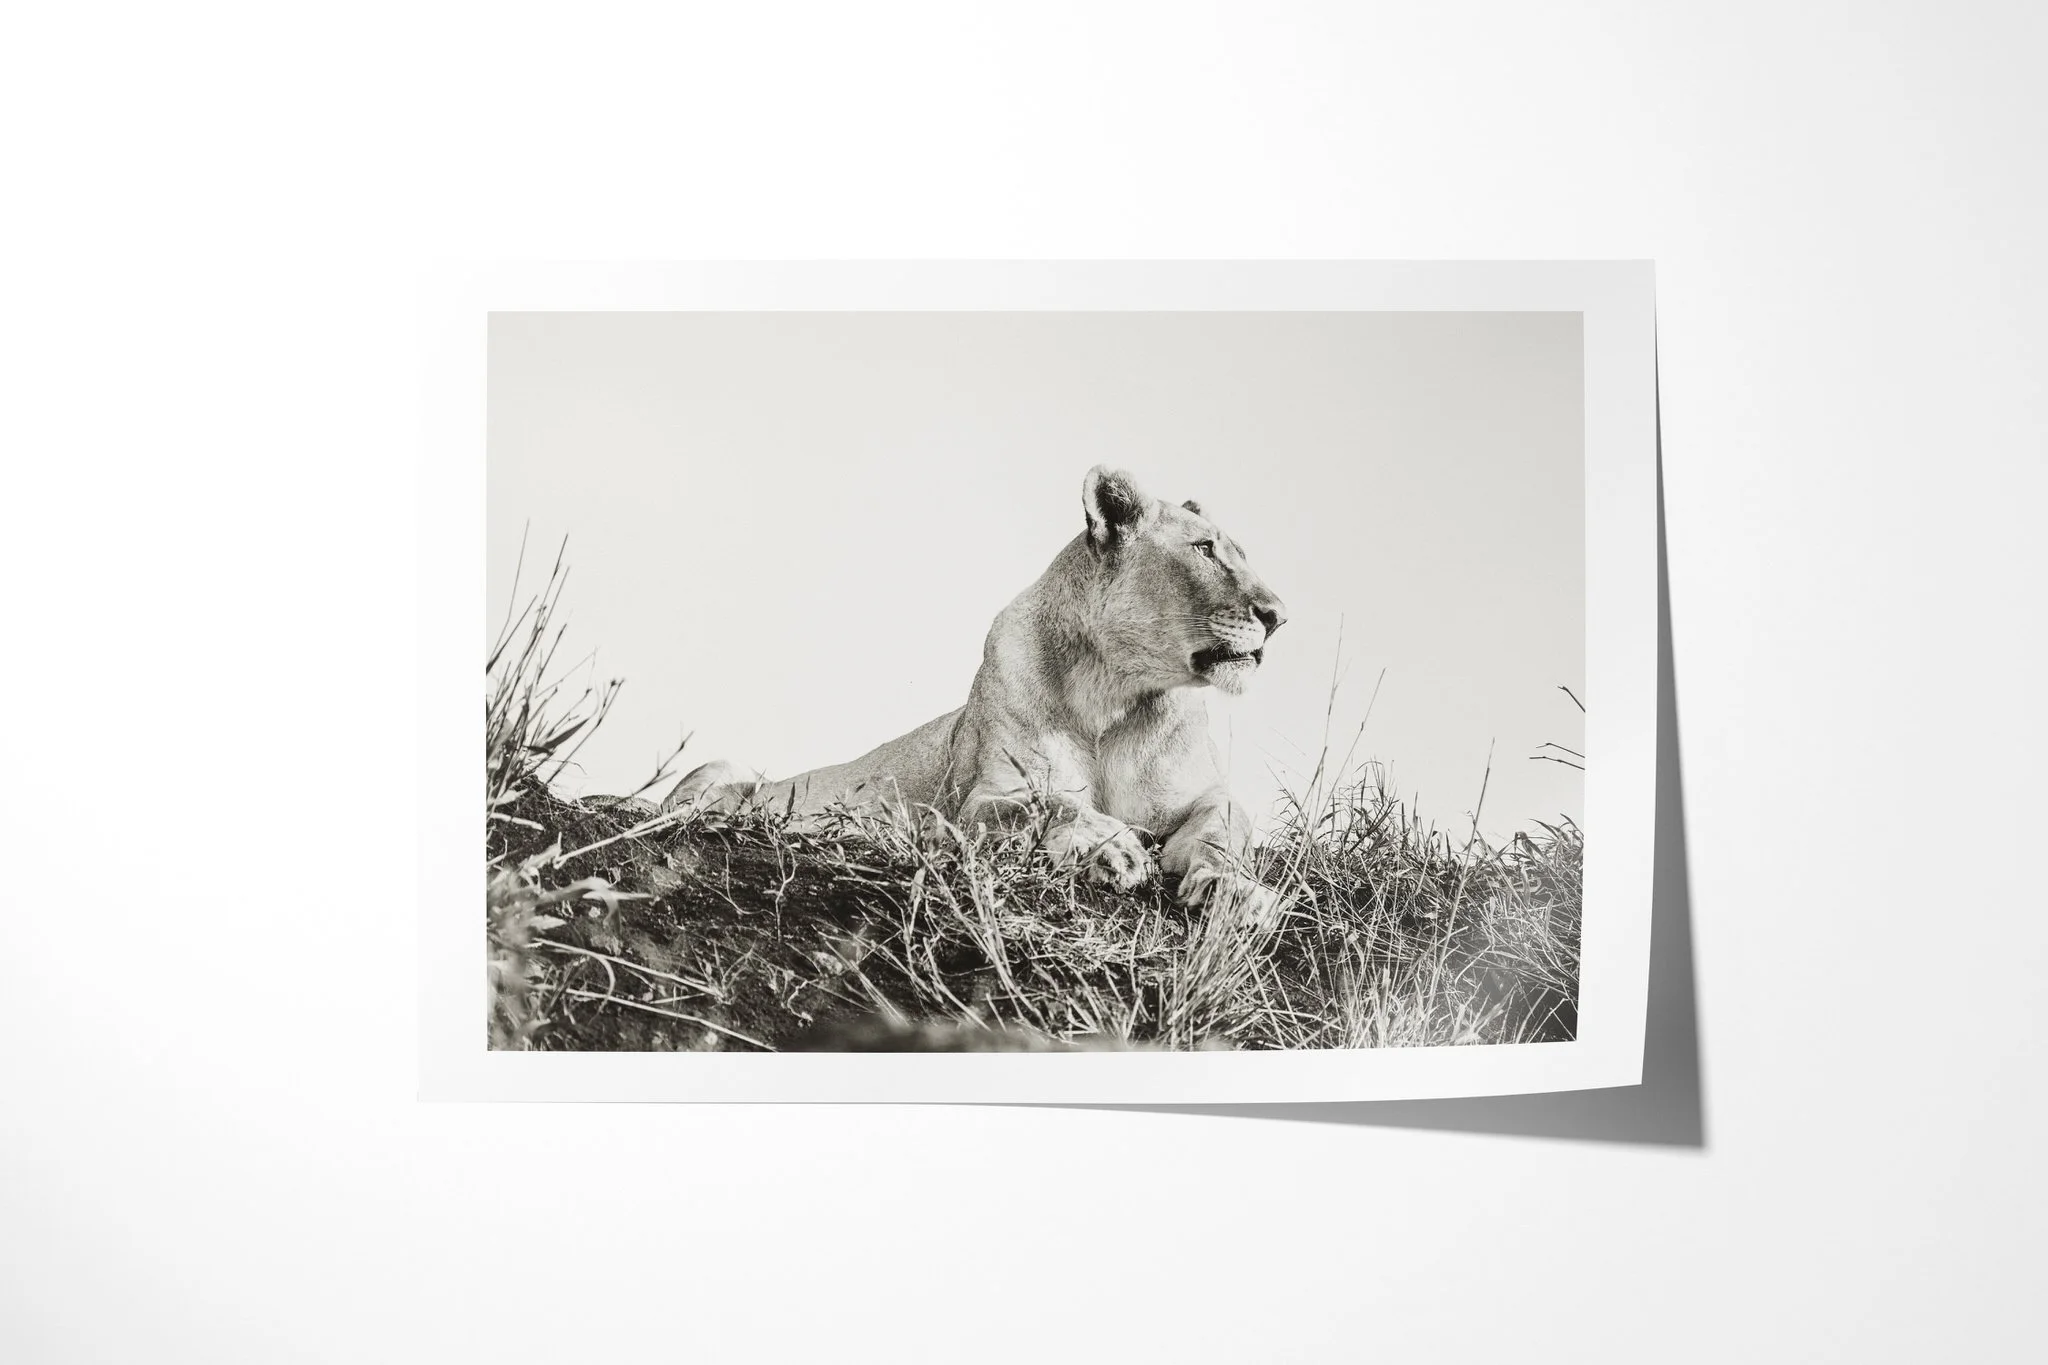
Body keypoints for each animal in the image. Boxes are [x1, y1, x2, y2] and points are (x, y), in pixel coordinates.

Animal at [662, 465, 1290, 925]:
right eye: (1205, 550)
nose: (1279, 616)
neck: (1116, 692)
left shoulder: (1206, 795)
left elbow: (1223, 831)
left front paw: (1234, 891)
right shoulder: (986, 796)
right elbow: (1051, 801)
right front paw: (1113, 849)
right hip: (722, 767)